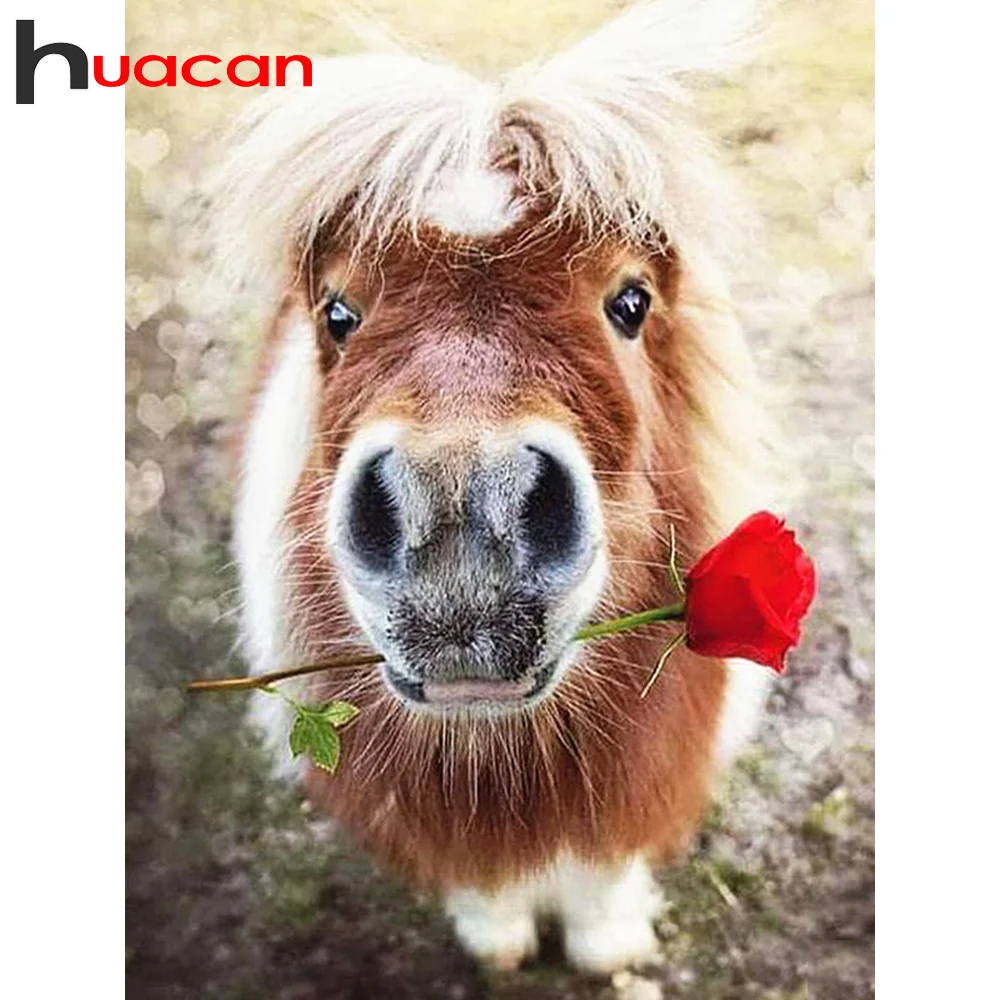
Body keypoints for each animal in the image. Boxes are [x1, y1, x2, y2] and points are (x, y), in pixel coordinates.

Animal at [215, 0, 775, 973]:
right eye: (338, 312)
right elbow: (484, 883)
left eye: (630, 302)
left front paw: (606, 945)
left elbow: (602, 875)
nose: (458, 516)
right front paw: (499, 941)